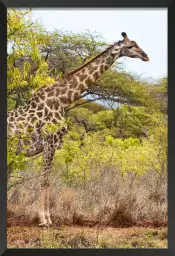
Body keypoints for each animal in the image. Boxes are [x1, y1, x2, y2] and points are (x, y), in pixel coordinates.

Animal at [7, 32, 149, 226]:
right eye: (129, 47)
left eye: (137, 44)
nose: (145, 56)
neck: (63, 100)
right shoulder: (49, 142)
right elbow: (44, 180)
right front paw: (44, 220)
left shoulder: (53, 145)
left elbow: (47, 180)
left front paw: (48, 218)